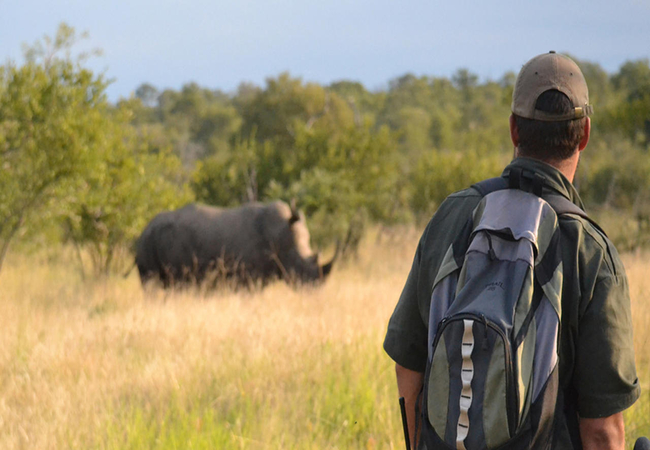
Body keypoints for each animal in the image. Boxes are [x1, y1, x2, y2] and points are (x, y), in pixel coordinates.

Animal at [135, 200, 336, 288]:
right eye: (299, 265)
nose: (316, 289)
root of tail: (144, 229)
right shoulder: (248, 276)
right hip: (147, 244)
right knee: (151, 285)